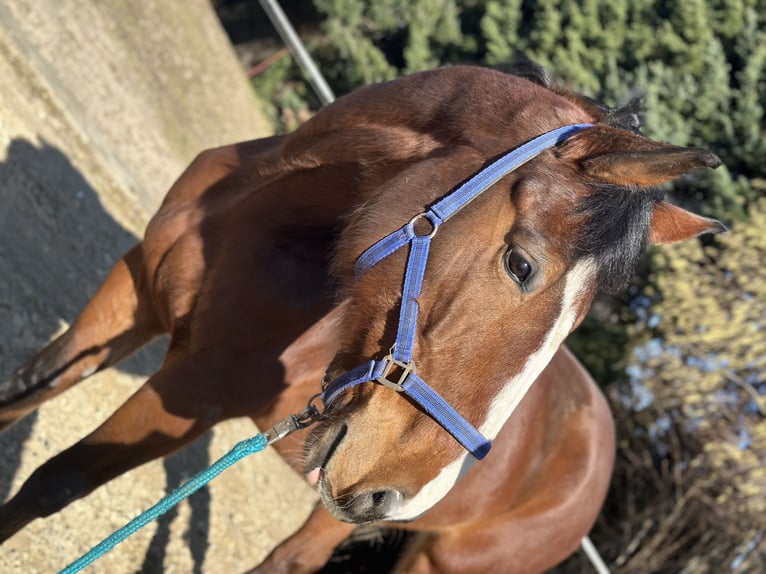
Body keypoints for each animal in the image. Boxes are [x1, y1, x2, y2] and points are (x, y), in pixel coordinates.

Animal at [0, 64, 724, 572]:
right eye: (521, 265)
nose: (399, 492)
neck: (270, 201)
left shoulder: (195, 392)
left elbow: (52, 483)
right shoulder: (127, 297)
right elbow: (23, 398)